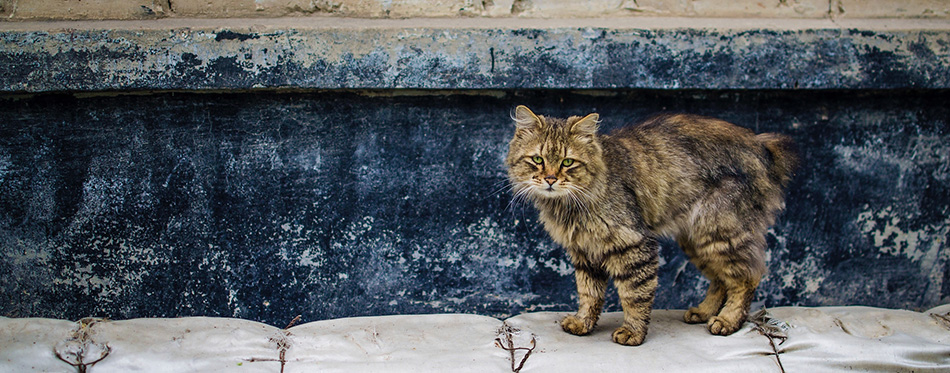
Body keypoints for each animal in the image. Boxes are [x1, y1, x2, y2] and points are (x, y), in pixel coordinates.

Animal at [506, 105, 796, 346]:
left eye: (568, 162)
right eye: (538, 160)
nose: (550, 179)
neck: (569, 205)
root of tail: (760, 143)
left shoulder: (634, 244)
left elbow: (634, 296)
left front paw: (633, 333)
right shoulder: (584, 252)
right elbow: (589, 294)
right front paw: (583, 324)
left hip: (720, 232)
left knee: (747, 277)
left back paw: (727, 321)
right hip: (697, 242)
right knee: (721, 279)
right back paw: (703, 312)